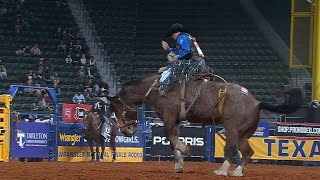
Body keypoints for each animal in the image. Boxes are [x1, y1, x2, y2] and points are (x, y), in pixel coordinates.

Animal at [107, 73, 302, 176]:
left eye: (118, 109)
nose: (126, 131)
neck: (160, 89)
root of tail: (257, 102)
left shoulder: (169, 118)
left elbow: (170, 137)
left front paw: (187, 150)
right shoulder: (175, 120)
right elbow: (172, 140)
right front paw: (179, 165)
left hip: (232, 129)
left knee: (231, 148)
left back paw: (222, 170)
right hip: (244, 134)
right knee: (247, 151)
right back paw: (237, 171)